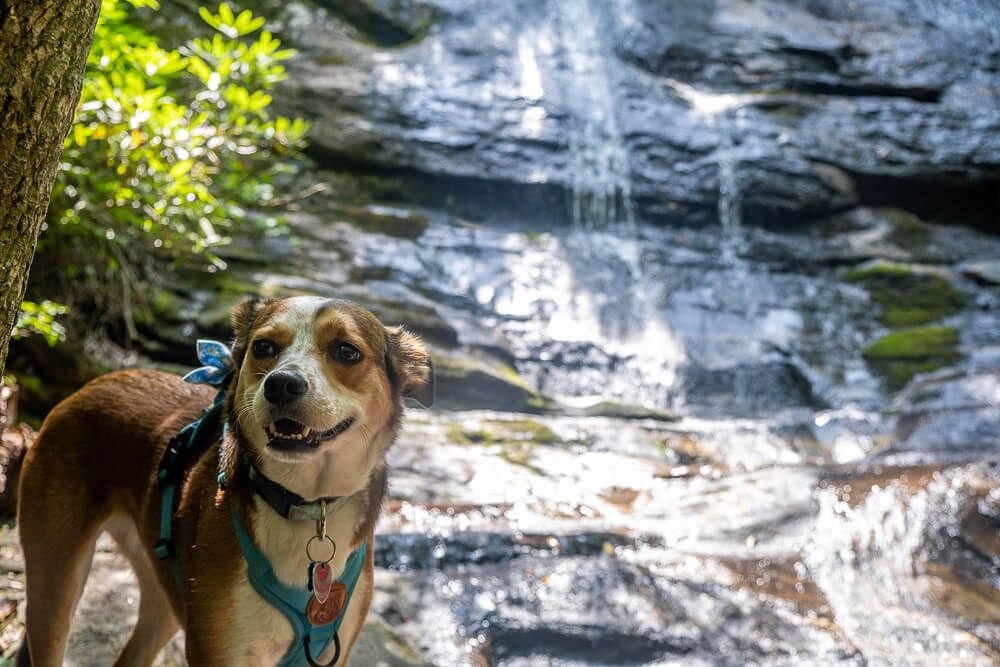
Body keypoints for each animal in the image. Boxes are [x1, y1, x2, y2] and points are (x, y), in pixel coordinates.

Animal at [15, 298, 430, 667]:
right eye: (264, 347)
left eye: (346, 351)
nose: (281, 384)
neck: (304, 504)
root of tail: (92, 384)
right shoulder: (217, 650)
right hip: (56, 586)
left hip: (165, 598)